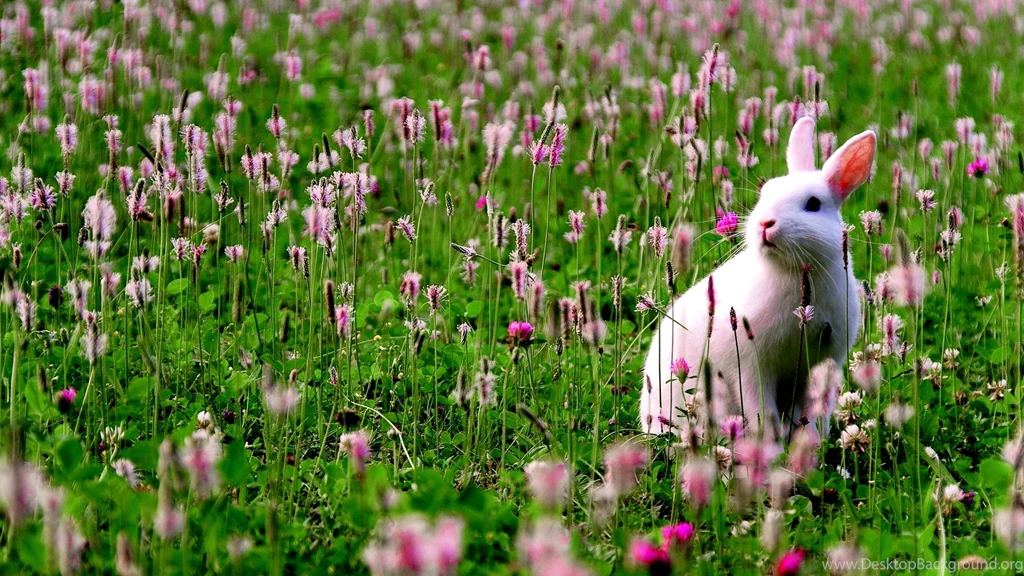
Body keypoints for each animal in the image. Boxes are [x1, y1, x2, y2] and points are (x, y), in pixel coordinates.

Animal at [640, 116, 875, 443]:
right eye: (765, 193)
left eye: (814, 204)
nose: (766, 223)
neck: (791, 272)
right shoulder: (749, 366)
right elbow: (761, 411)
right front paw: (771, 446)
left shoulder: (823, 364)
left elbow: (812, 413)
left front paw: (809, 445)